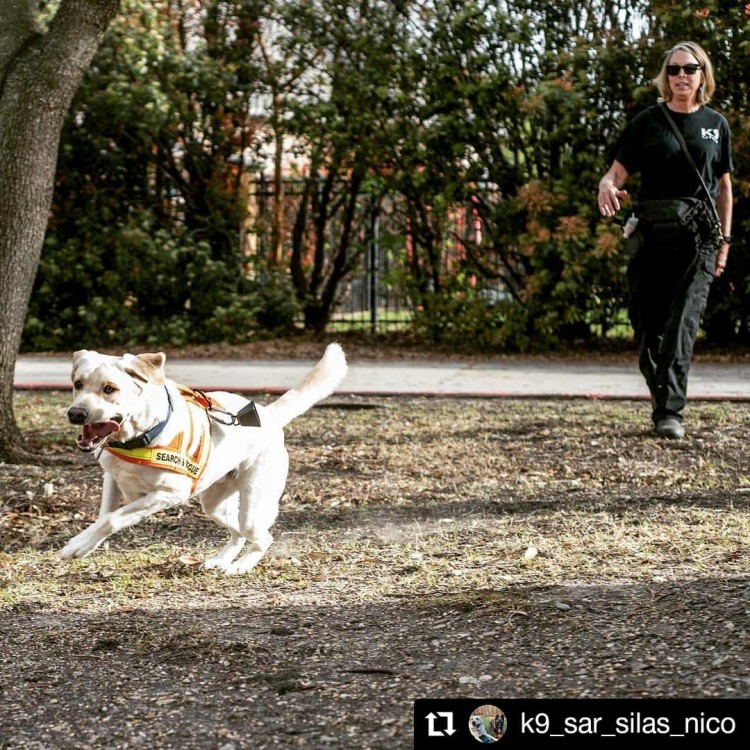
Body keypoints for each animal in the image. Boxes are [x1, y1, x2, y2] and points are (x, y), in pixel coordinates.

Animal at [62, 344, 347, 574]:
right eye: (78, 384)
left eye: (109, 389)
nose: (75, 413)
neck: (139, 437)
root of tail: (268, 415)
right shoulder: (113, 478)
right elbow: (104, 517)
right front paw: (83, 545)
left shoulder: (169, 494)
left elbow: (112, 519)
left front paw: (75, 544)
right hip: (213, 504)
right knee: (237, 533)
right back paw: (220, 560)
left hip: (253, 507)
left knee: (261, 537)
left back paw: (241, 565)